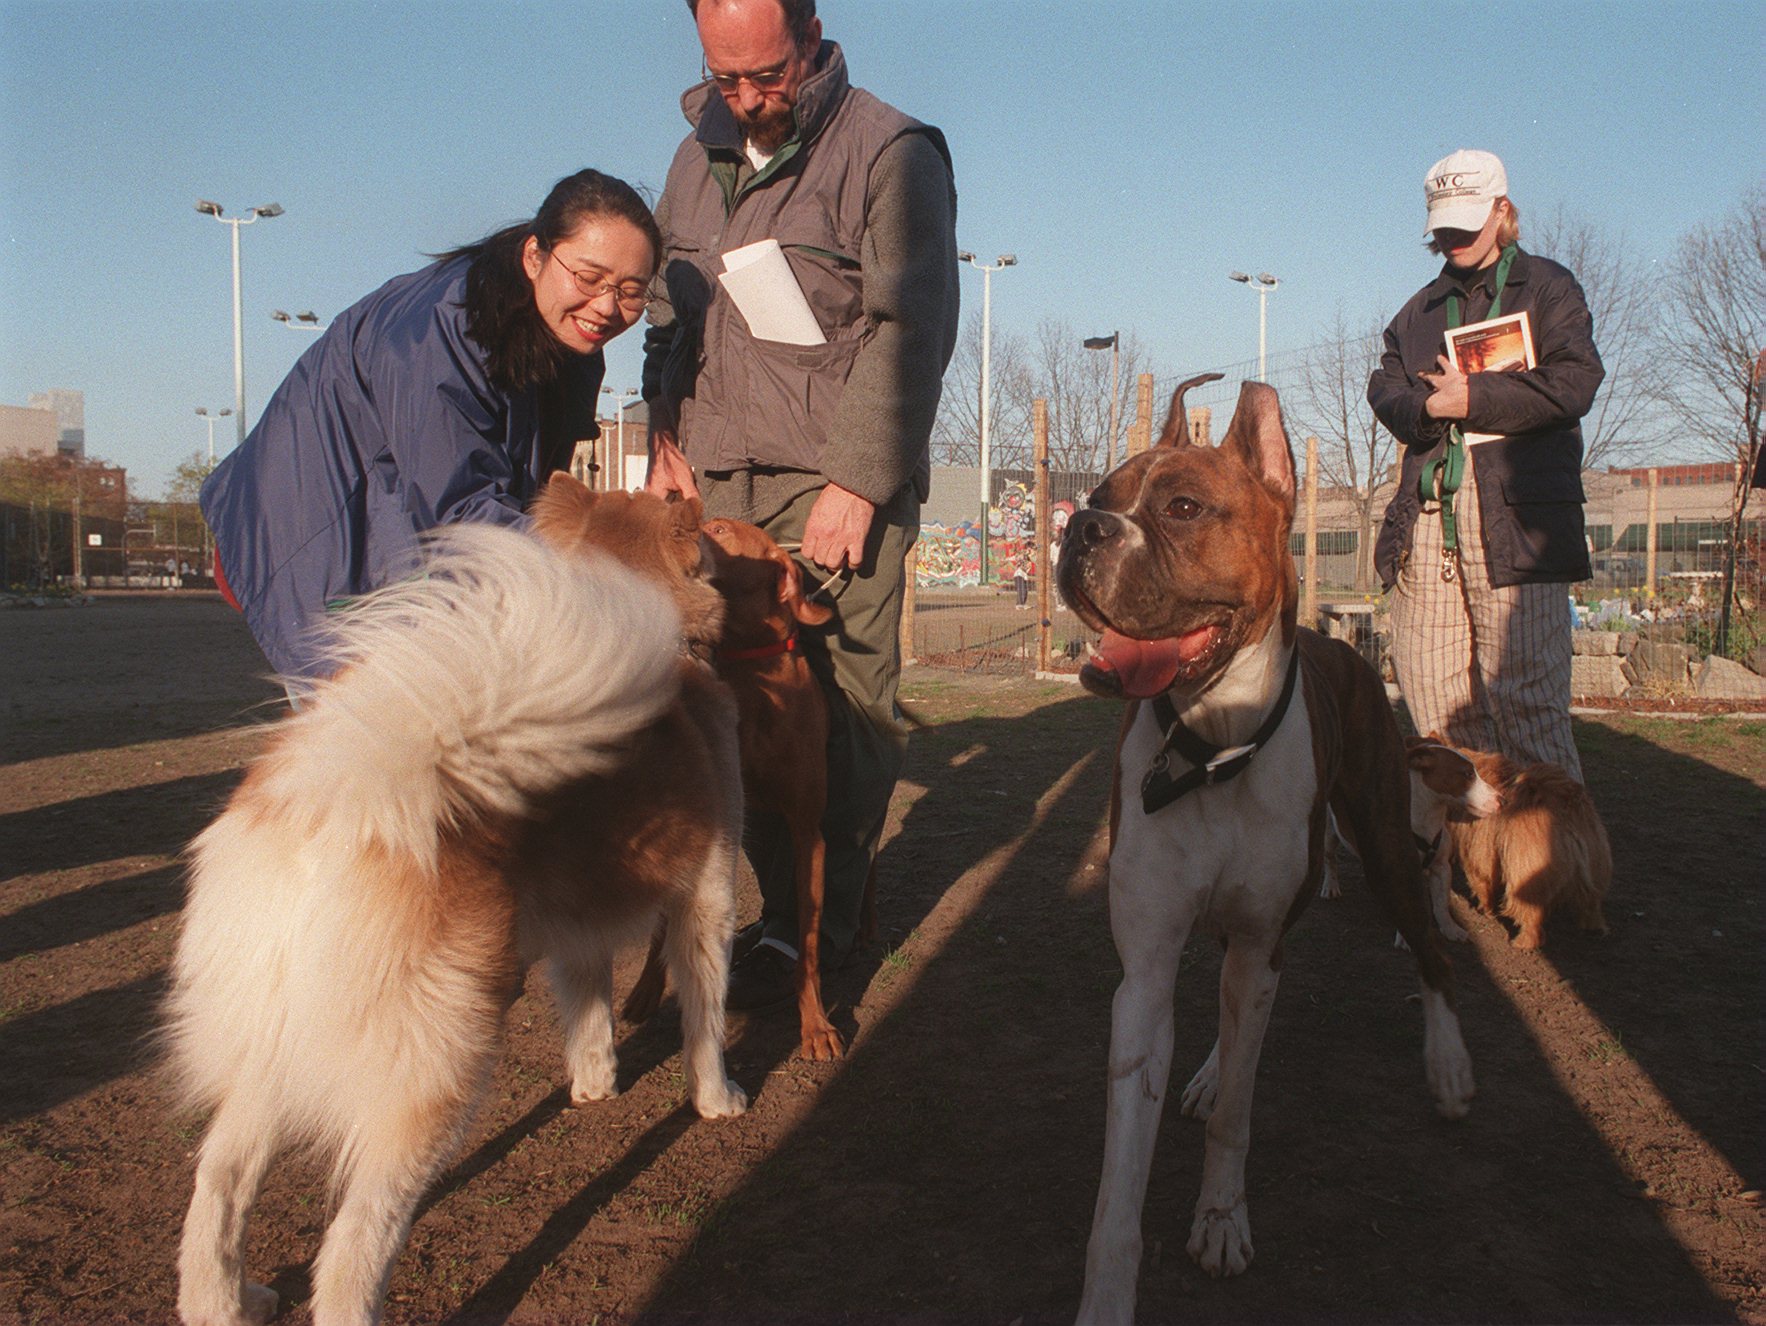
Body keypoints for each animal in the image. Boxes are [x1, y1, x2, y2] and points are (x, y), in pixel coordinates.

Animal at [160, 480, 745, 1326]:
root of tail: (346, 798)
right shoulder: (706, 901)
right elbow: (705, 1019)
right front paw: (717, 1097)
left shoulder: (578, 929)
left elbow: (590, 1011)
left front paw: (594, 1084)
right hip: (434, 1070)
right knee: (352, 1246)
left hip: (272, 1037)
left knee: (219, 1181)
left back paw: (226, 1302)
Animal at [1059, 374, 1476, 1326]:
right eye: (1098, 495)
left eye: (1182, 507)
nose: (1080, 528)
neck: (1213, 742)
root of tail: (1341, 642)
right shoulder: (1145, 977)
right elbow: (1118, 1183)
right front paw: (1109, 1291)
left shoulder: (1261, 939)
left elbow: (1239, 1117)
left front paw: (1220, 1219)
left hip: (1383, 841)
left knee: (1430, 953)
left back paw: (1446, 1065)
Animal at [1441, 748, 1610, 953]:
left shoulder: (1477, 854)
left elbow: (1482, 884)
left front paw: (1486, 910)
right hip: (1595, 867)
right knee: (1592, 902)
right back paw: (1593, 927)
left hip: (1525, 876)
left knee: (1531, 919)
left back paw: (1522, 942)